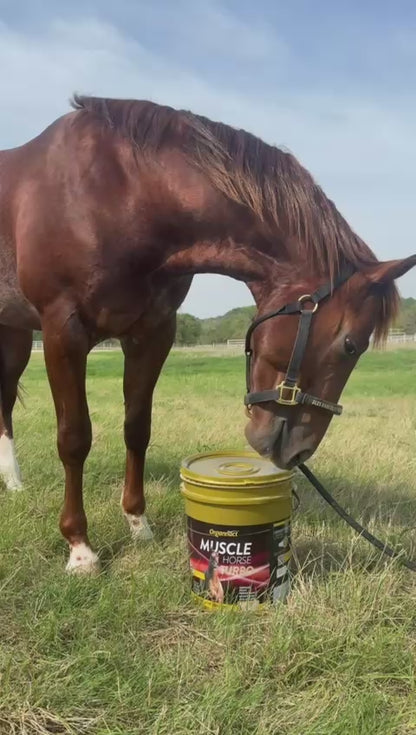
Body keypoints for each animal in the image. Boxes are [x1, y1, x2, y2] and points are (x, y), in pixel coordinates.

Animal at [0, 95, 414, 574]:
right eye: (350, 345)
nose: (297, 453)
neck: (118, 195)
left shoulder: (153, 333)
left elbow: (137, 427)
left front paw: (138, 523)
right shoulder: (62, 332)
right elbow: (74, 438)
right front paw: (80, 547)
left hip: (15, 332)